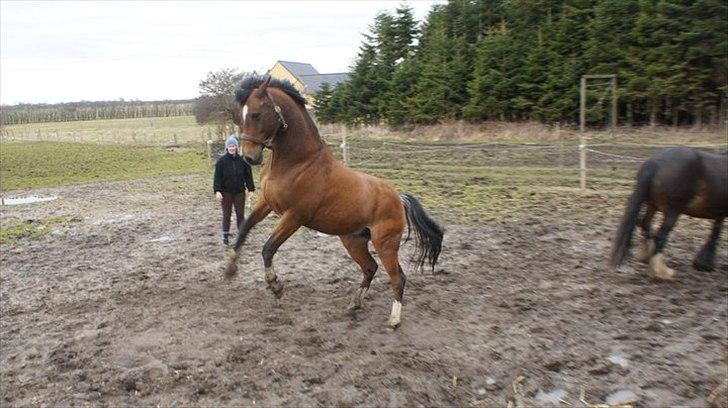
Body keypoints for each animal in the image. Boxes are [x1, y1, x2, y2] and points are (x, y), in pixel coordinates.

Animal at [223, 75, 444, 326]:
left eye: (256, 114)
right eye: (240, 116)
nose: (249, 157)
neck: (298, 162)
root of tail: (398, 197)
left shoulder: (295, 216)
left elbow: (268, 248)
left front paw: (276, 286)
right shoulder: (267, 203)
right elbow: (245, 227)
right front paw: (230, 268)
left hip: (385, 243)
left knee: (397, 276)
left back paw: (393, 320)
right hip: (354, 241)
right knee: (370, 268)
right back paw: (353, 306)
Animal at [612, 147, 724, 280]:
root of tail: (655, 163)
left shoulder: (720, 213)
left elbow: (716, 230)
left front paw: (704, 263)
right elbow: (716, 233)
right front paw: (704, 263)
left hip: (652, 205)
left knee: (645, 224)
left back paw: (647, 256)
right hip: (672, 211)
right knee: (660, 235)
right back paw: (661, 271)